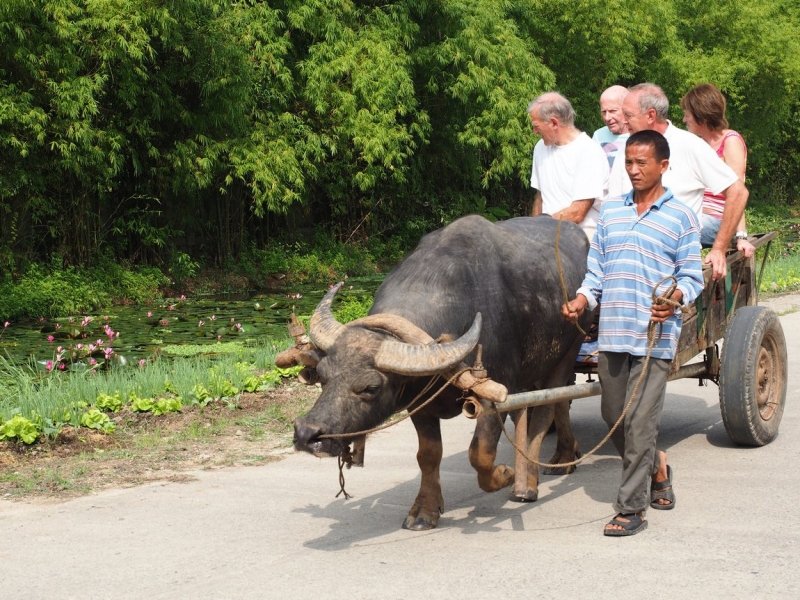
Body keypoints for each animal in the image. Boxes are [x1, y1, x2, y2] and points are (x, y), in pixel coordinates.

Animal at [288, 214, 592, 528]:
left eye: (370, 388)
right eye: (322, 377)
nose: (306, 434)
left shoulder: (494, 392)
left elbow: (481, 453)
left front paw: (506, 474)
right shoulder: (420, 403)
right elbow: (428, 455)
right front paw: (425, 510)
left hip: (567, 352)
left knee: (547, 411)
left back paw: (531, 481)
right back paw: (563, 456)